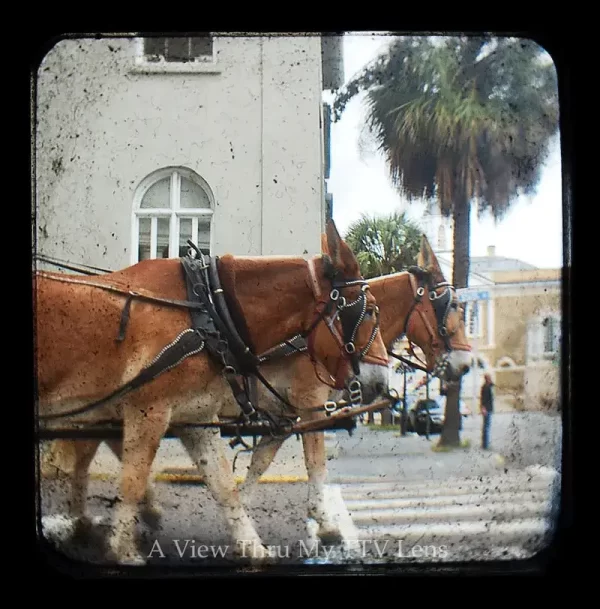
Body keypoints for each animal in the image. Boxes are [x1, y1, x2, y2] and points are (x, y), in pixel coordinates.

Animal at [42, 235, 474, 560]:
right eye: (451, 305)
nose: (466, 364)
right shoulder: (308, 404)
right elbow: (314, 462)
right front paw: (326, 524)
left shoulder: (280, 412)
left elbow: (258, 462)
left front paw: (246, 510)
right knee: (87, 454)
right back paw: (86, 518)